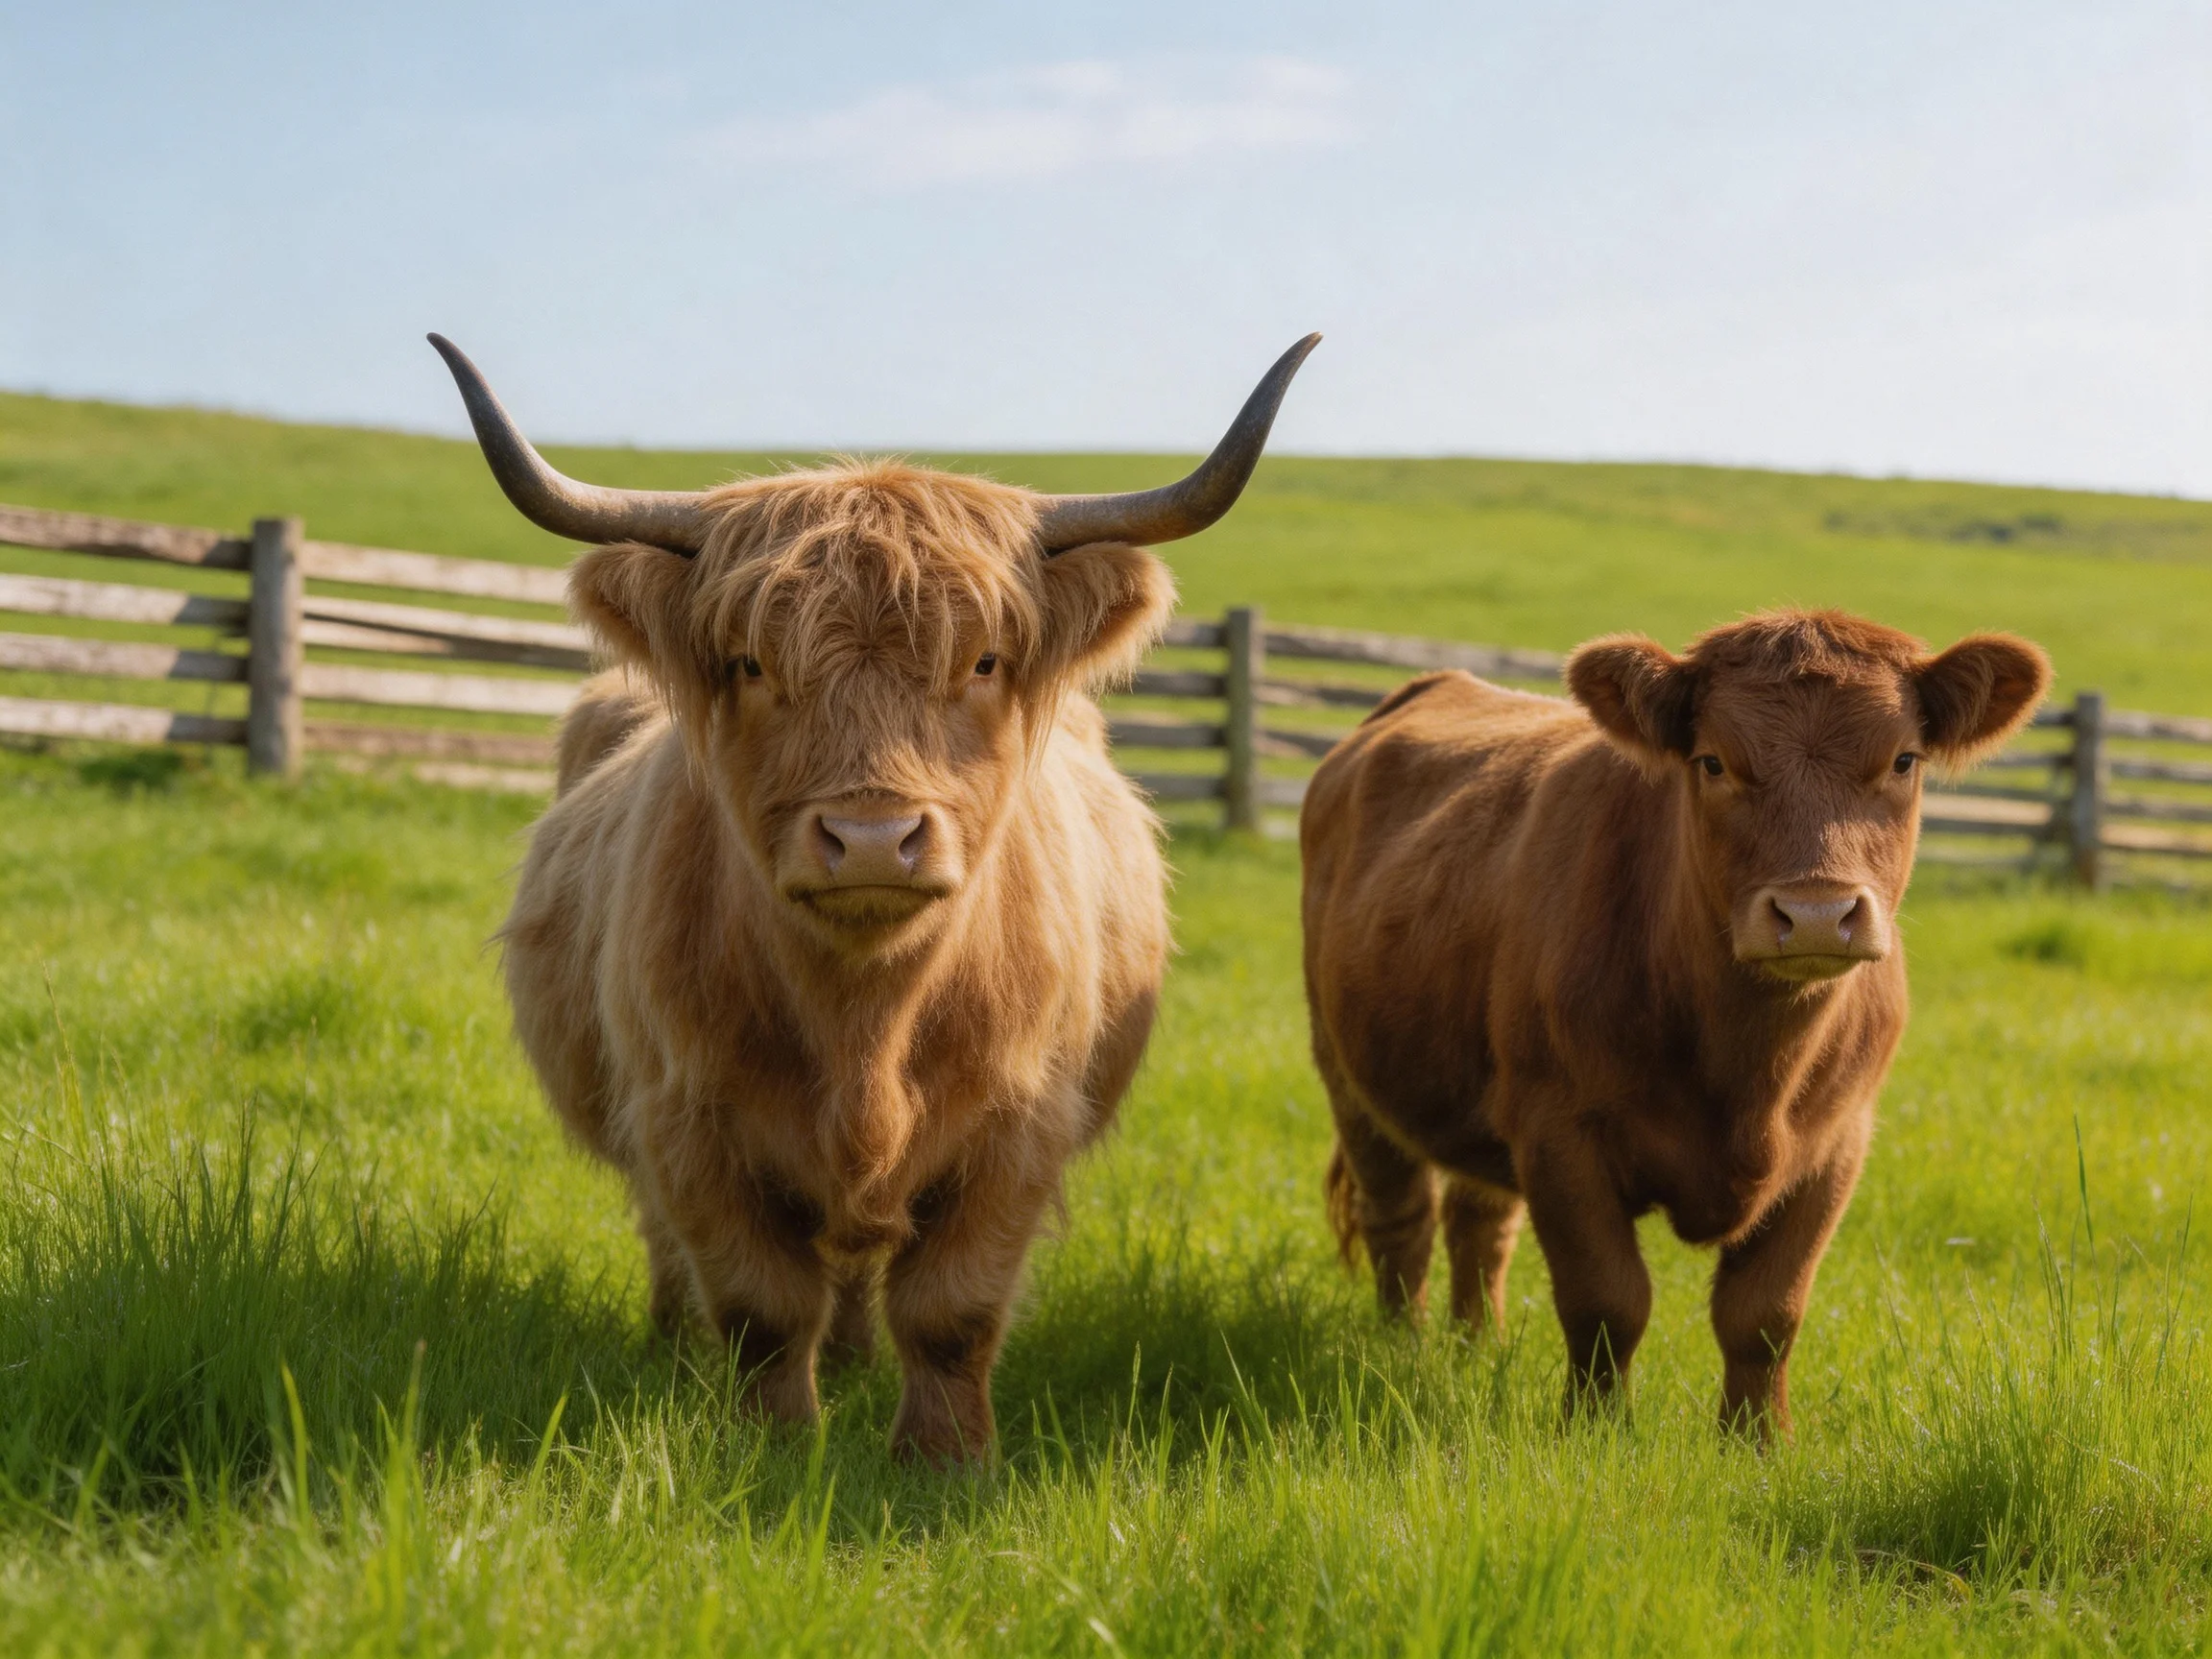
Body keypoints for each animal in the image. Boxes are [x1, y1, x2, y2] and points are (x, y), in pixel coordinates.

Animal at [430, 332, 1318, 1463]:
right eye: (750, 662)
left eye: (983, 660)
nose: (869, 839)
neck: (867, 1025)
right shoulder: (688, 1116)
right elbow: (761, 1306)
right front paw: (775, 1448)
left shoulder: (1019, 1123)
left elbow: (952, 1311)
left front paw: (944, 1463)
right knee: (681, 1253)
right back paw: (676, 1353)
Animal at [1299, 609, 2049, 1435]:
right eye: (1713, 762)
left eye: (1904, 759)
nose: (1816, 913)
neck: (1748, 1075)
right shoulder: (1559, 1133)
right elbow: (1606, 1302)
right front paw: (1595, 1434)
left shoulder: (1837, 1144)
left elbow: (1765, 1314)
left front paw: (1756, 1443)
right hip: (1347, 1073)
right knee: (1400, 1219)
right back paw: (1402, 1349)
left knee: (1480, 1222)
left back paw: (1476, 1349)